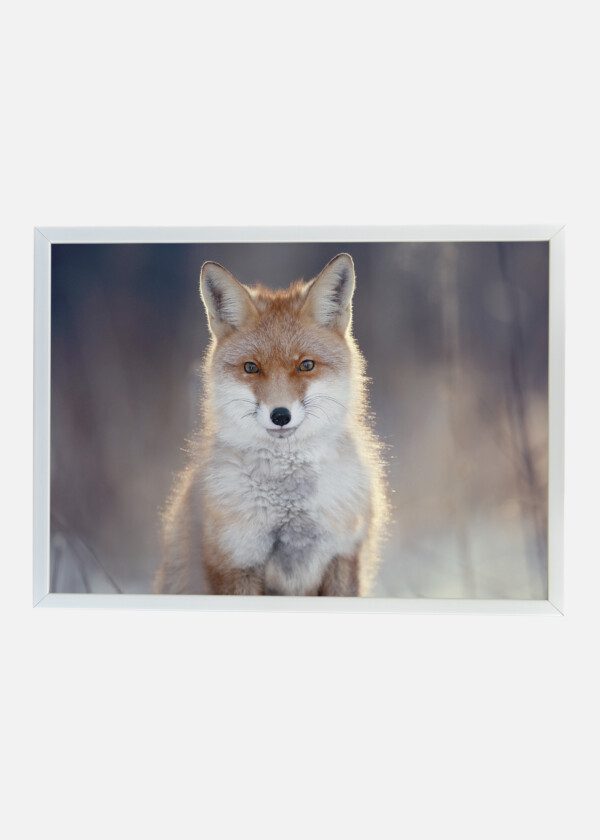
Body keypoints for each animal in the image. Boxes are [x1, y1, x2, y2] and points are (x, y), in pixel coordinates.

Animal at [154, 253, 388, 596]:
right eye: (251, 368)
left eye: (306, 365)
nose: (280, 415)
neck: (291, 506)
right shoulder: (236, 562)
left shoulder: (344, 557)